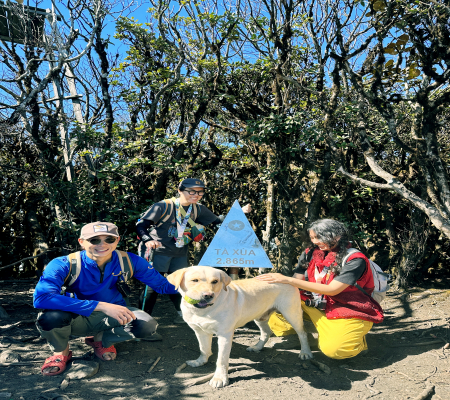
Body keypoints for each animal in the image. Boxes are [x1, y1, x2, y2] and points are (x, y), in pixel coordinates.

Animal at [167, 266, 312, 388]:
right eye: (194, 280)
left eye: (215, 281)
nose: (208, 295)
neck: (203, 311)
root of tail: (285, 277)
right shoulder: (199, 331)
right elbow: (203, 349)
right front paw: (200, 361)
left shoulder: (224, 335)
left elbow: (221, 360)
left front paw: (219, 378)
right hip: (259, 316)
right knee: (266, 332)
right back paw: (257, 347)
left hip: (291, 314)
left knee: (303, 333)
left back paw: (305, 352)